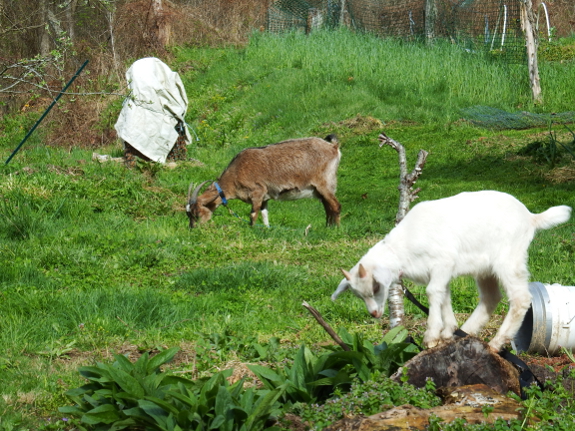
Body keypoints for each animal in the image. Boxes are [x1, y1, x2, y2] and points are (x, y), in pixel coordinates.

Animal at [187, 136, 342, 230]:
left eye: (197, 212)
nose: (193, 228)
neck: (235, 174)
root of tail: (333, 147)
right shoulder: (265, 198)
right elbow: (264, 214)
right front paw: (266, 229)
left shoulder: (257, 192)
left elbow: (253, 214)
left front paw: (251, 229)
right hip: (319, 189)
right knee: (328, 207)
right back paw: (328, 227)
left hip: (325, 183)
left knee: (336, 206)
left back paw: (336, 229)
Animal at [332, 191, 572, 352]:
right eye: (358, 295)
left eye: (375, 287)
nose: (374, 314)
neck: (402, 248)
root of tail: (530, 217)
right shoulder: (440, 272)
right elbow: (443, 296)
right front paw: (447, 331)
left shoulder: (443, 262)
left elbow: (432, 292)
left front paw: (431, 335)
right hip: (485, 268)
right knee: (491, 297)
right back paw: (466, 332)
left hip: (508, 259)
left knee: (520, 298)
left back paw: (496, 342)